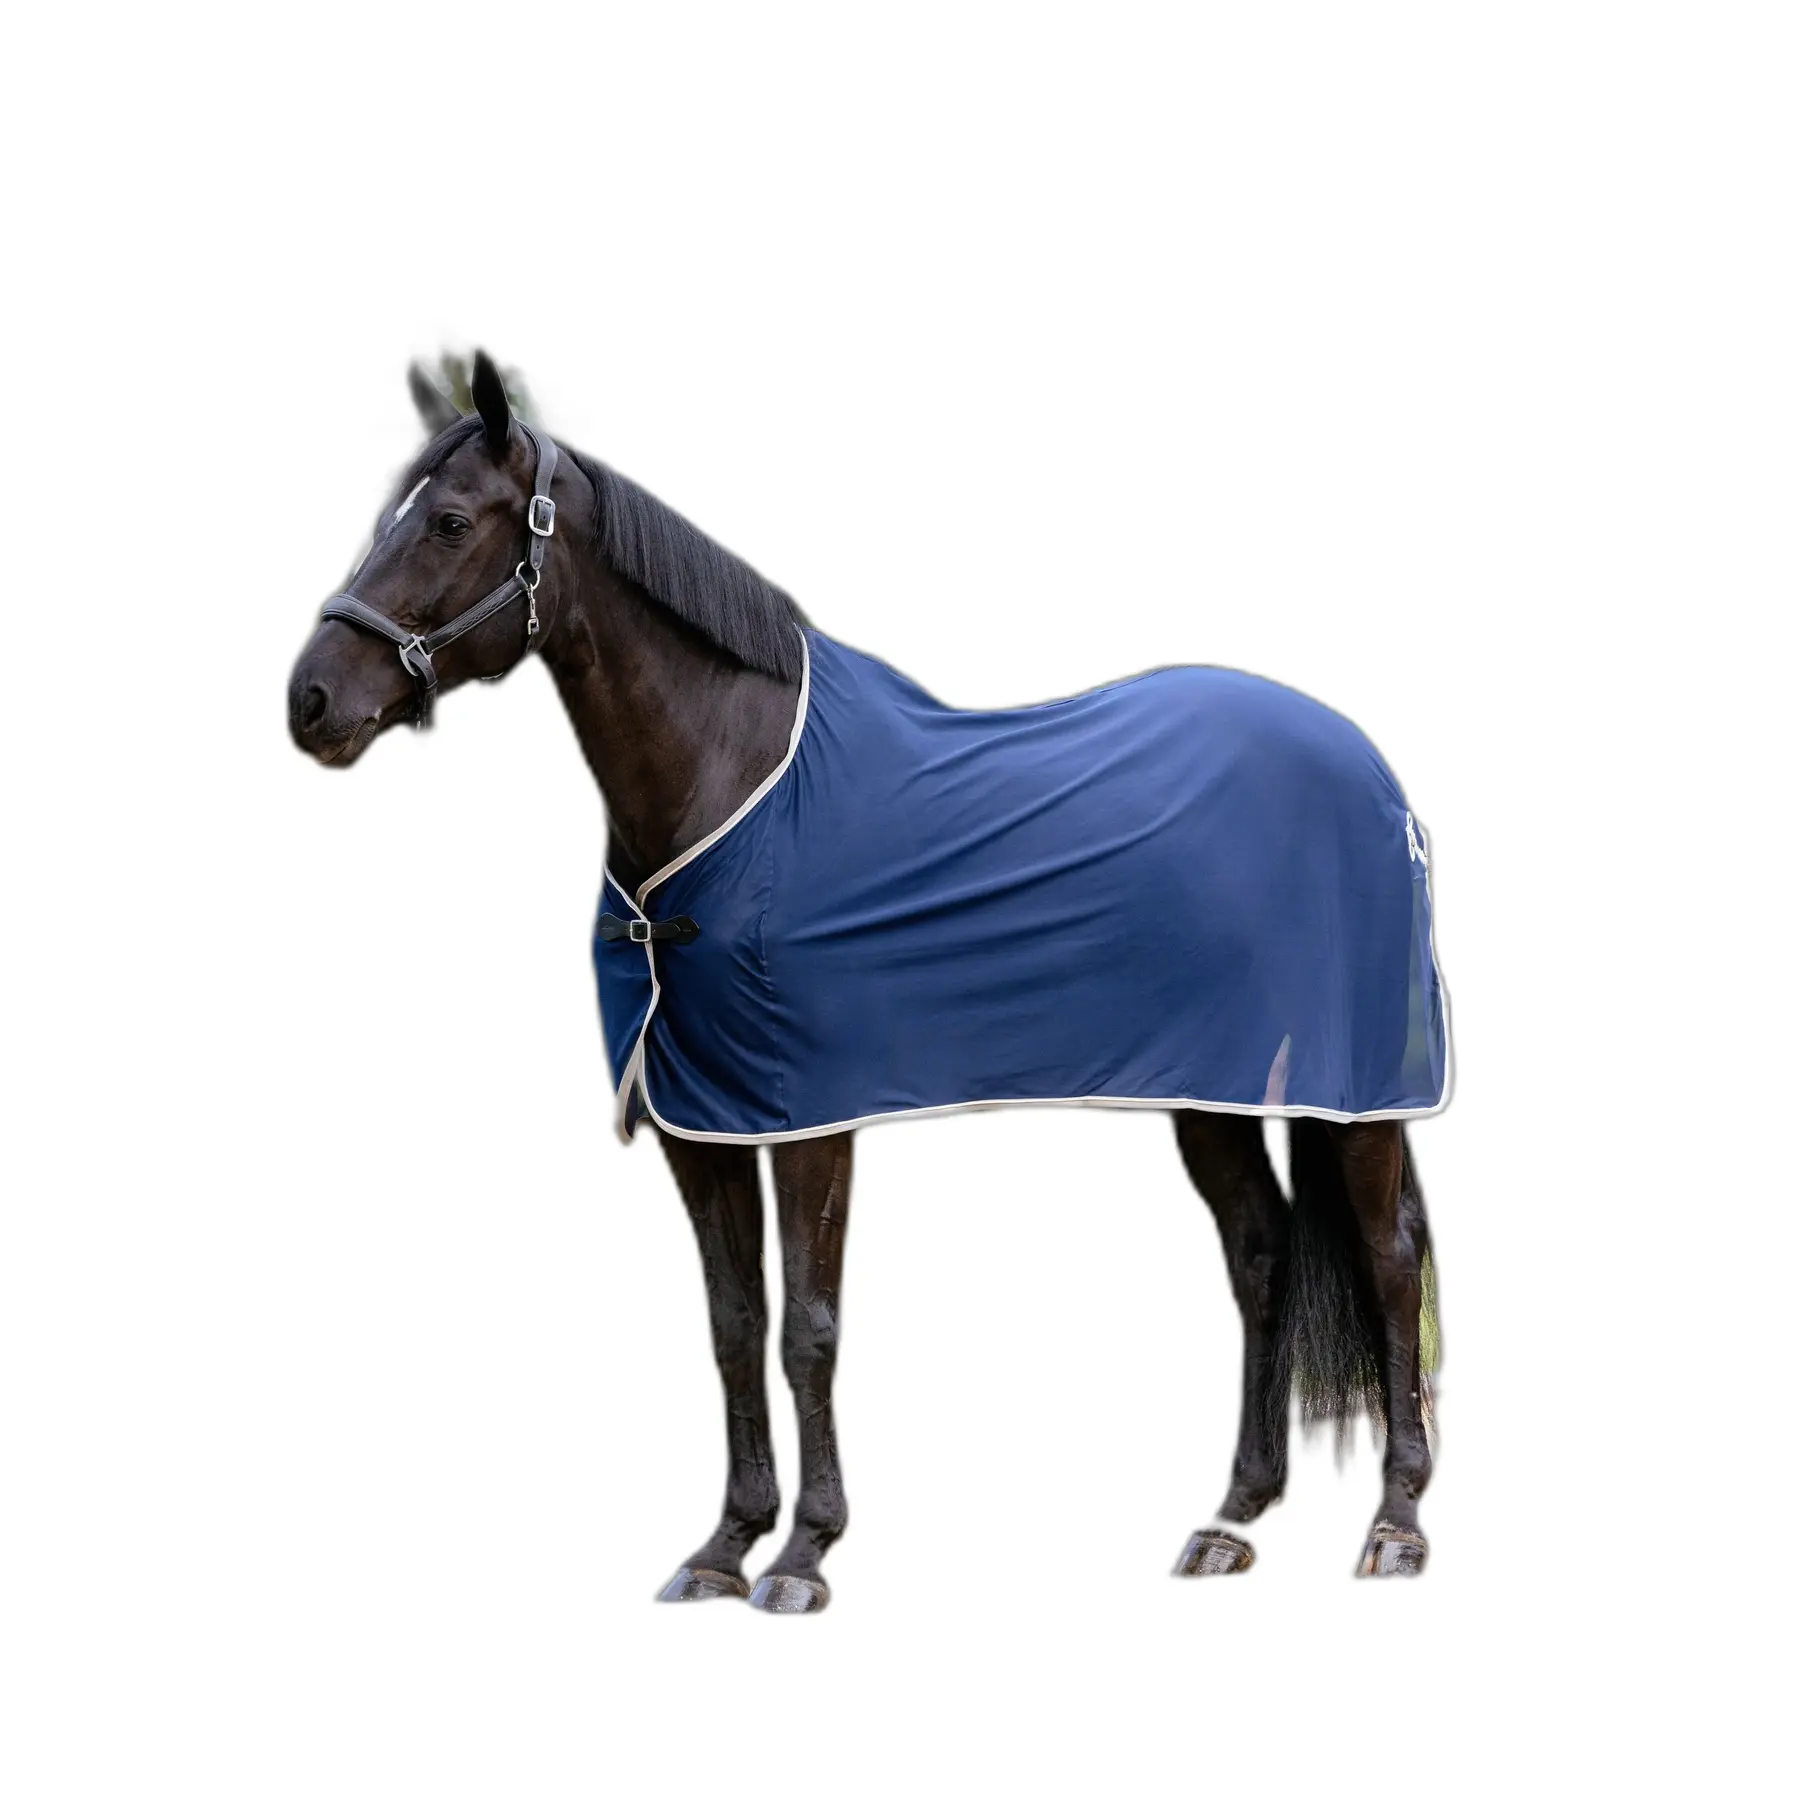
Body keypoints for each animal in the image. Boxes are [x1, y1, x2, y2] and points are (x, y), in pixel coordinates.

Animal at [288, 350, 1446, 1612]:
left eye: (448, 522)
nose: (309, 701)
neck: (734, 778)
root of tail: (1375, 777)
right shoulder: (700, 1120)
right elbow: (734, 1323)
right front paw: (724, 1545)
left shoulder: (808, 1117)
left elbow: (809, 1327)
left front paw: (804, 1555)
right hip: (1212, 1091)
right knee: (1263, 1254)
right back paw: (1233, 1517)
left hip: (1356, 1093)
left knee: (1388, 1259)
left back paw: (1395, 1525)